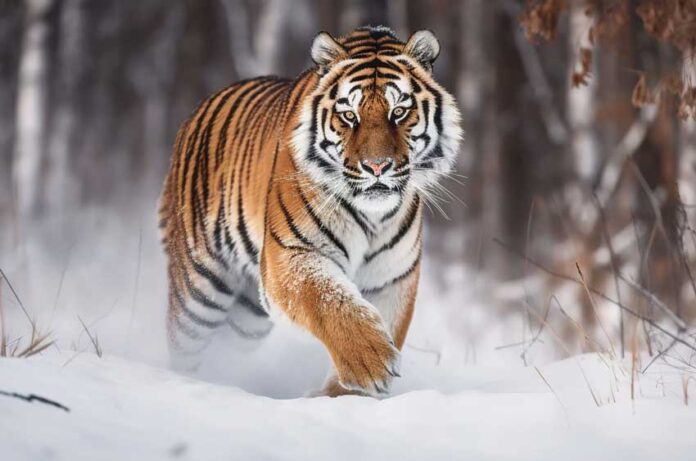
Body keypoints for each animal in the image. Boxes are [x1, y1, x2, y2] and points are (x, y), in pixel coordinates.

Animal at [159, 25, 462, 397]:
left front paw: (346, 394)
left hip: (247, 316)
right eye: (350, 116)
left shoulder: (393, 276)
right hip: (199, 291)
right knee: (184, 344)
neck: (372, 217)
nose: (377, 166)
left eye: (399, 112)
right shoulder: (292, 254)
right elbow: (329, 300)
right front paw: (371, 361)